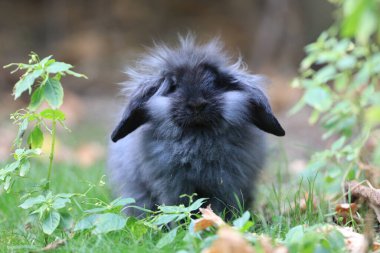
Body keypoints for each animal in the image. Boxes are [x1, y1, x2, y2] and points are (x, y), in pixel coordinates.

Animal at [105, 35, 284, 217]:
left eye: (215, 83)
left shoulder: (225, 185)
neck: (198, 136)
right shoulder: (173, 187)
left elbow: (219, 207)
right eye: (174, 86)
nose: (197, 105)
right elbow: (177, 208)